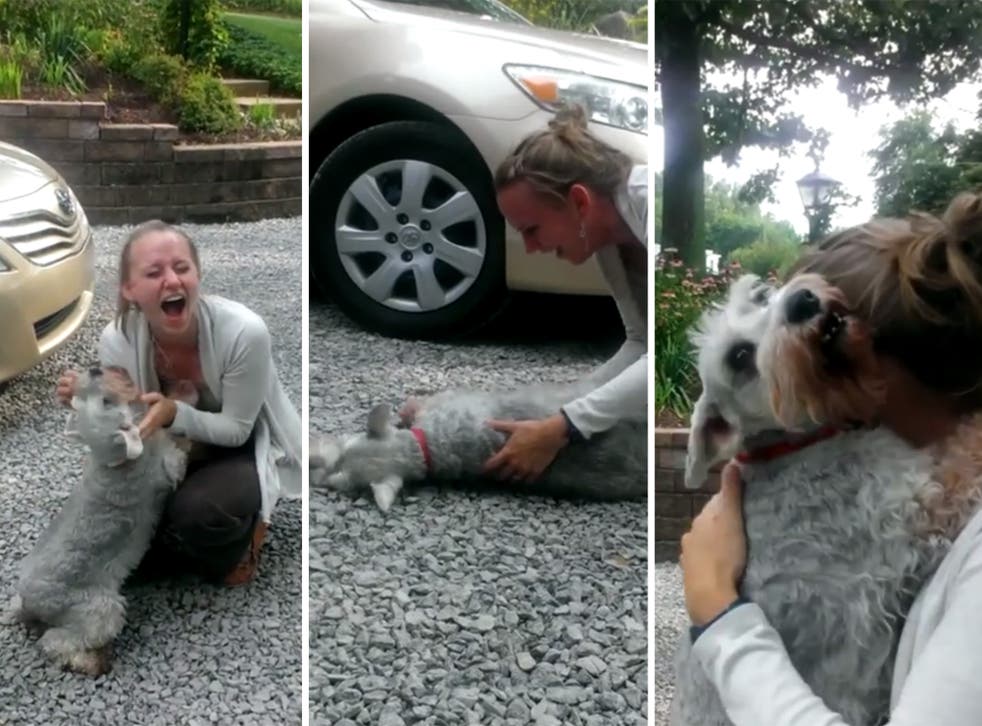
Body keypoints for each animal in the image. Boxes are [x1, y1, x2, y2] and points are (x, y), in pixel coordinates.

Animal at [7, 366, 192, 680]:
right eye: (106, 402)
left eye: (82, 400)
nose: (94, 370)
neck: (115, 459)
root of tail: (30, 603)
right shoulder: (168, 466)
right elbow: (178, 449)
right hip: (99, 608)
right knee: (57, 642)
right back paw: (92, 662)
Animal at [668, 274, 960, 726]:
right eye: (739, 356)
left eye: (759, 296)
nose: (801, 302)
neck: (797, 444)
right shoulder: (910, 512)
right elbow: (962, 460)